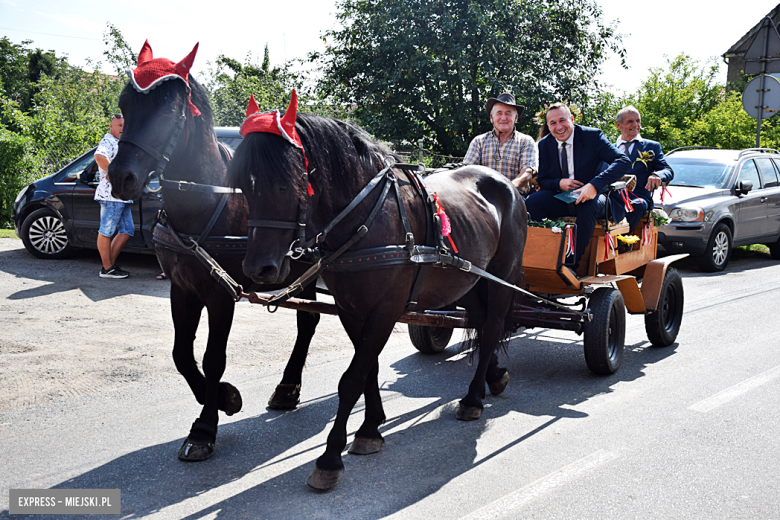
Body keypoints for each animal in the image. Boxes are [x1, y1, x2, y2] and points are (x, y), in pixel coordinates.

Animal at [107, 42, 320, 462]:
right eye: (124, 104)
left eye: (167, 112)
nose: (121, 177)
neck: (205, 201)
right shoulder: (182, 288)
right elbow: (181, 354)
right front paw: (223, 397)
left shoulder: (221, 294)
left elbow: (213, 357)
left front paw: (205, 426)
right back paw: (287, 389)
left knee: (312, 321)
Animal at [229, 95, 528, 490]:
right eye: (244, 188)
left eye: (285, 185)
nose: (258, 268)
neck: (367, 219)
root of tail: (507, 185)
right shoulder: (351, 308)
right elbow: (367, 367)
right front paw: (371, 428)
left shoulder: (385, 309)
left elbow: (352, 378)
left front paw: (330, 458)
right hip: (466, 280)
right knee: (481, 324)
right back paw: (492, 377)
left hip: (499, 277)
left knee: (492, 326)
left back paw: (473, 398)